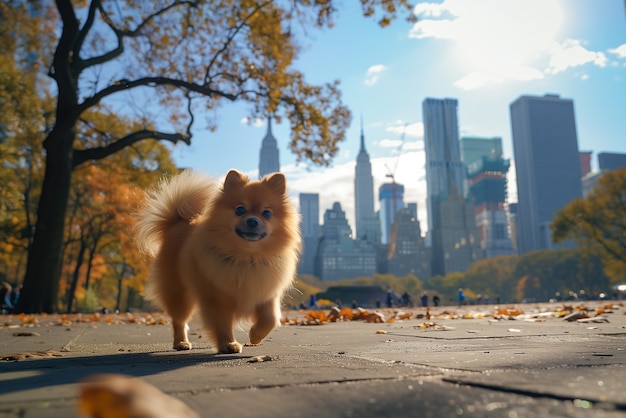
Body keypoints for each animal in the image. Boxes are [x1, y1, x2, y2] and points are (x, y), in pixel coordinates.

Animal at [136, 169, 300, 352]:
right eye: (240, 210)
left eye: (267, 213)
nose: (253, 220)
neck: (246, 257)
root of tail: (177, 222)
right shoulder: (218, 300)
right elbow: (222, 324)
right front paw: (228, 343)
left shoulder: (266, 295)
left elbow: (270, 319)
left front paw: (255, 336)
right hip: (179, 293)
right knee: (179, 320)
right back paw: (181, 342)